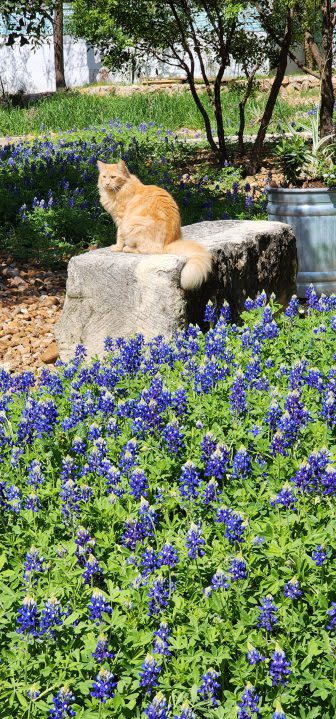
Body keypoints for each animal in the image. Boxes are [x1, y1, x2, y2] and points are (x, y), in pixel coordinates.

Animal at [96, 160, 211, 290]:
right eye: (104, 177)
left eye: (113, 177)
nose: (106, 183)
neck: (121, 189)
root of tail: (168, 243)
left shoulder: (121, 221)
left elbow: (119, 236)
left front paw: (117, 247)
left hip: (133, 226)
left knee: (146, 250)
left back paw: (127, 248)